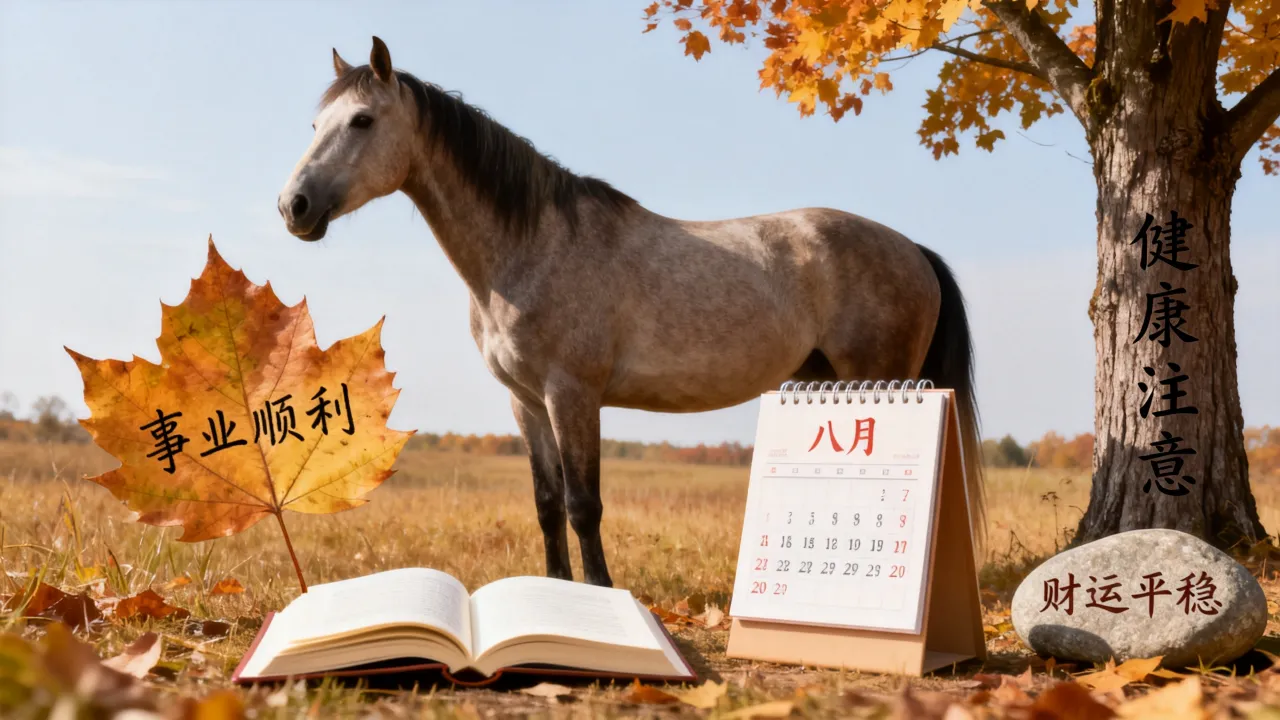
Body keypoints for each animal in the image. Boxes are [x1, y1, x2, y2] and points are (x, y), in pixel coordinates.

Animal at [278, 37, 986, 587]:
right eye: (313, 126)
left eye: (362, 121)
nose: (294, 207)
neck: (531, 245)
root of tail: (913, 249)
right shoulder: (526, 402)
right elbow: (546, 503)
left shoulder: (572, 395)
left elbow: (582, 504)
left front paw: (600, 598)